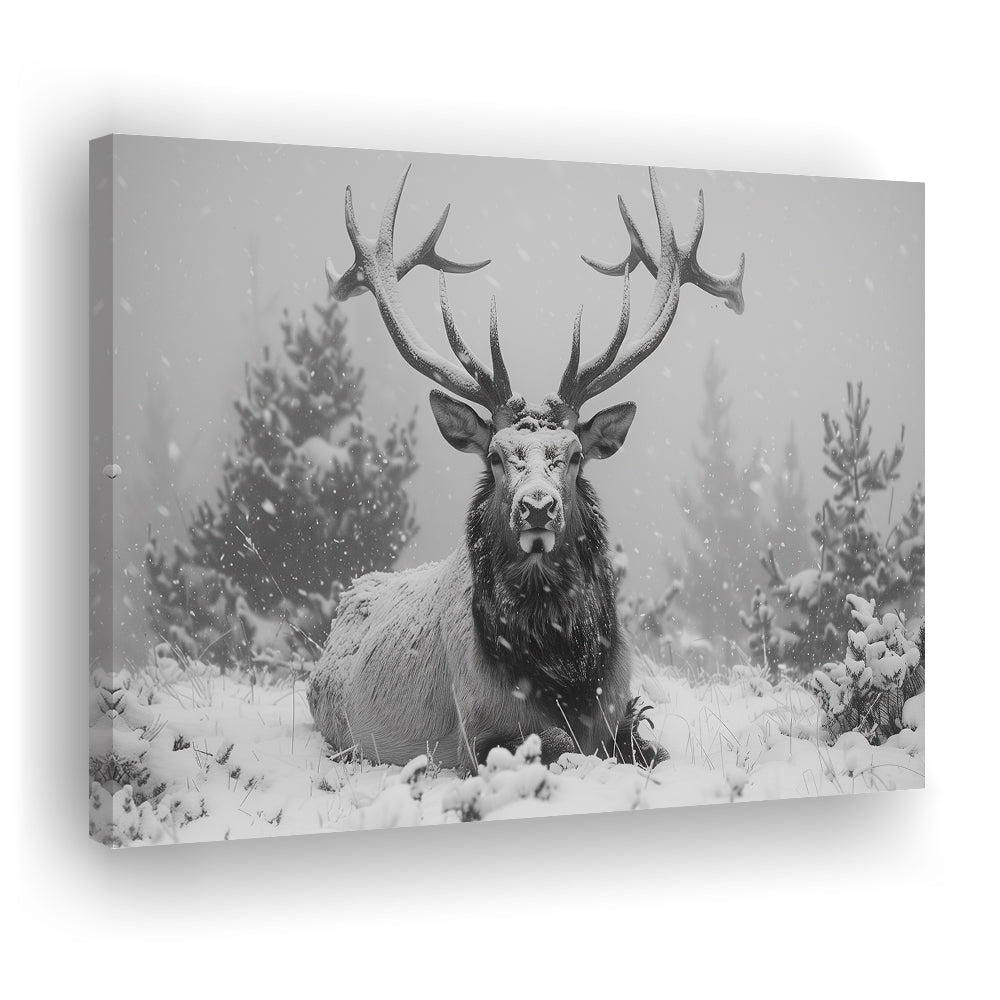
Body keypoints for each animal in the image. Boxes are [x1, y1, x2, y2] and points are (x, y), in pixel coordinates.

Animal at [308, 164, 745, 773]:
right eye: (495, 455)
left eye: (576, 454)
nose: (537, 506)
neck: (566, 674)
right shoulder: (479, 730)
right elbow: (557, 745)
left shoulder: (622, 711)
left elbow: (653, 750)